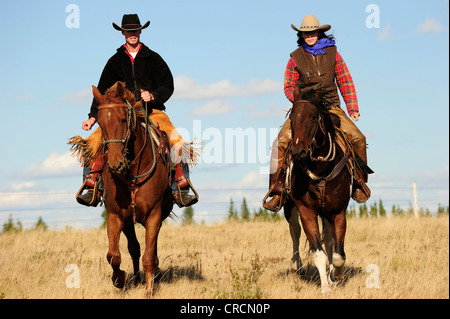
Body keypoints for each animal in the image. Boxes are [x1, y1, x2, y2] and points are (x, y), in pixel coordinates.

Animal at [94, 82, 173, 298]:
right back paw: (136, 279)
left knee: (150, 250)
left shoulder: (154, 215)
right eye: (100, 123)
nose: (115, 164)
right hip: (129, 222)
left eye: (123, 119)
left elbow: (149, 256)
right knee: (134, 248)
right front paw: (119, 279)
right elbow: (114, 255)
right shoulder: (116, 216)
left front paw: (149, 290)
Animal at [284, 90, 352, 296]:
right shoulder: (307, 212)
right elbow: (318, 253)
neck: (321, 170)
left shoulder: (338, 212)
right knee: (295, 231)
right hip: (290, 208)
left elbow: (337, 254)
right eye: (291, 118)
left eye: (313, 117)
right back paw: (296, 266)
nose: (298, 152)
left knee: (329, 241)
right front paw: (325, 288)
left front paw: (335, 276)